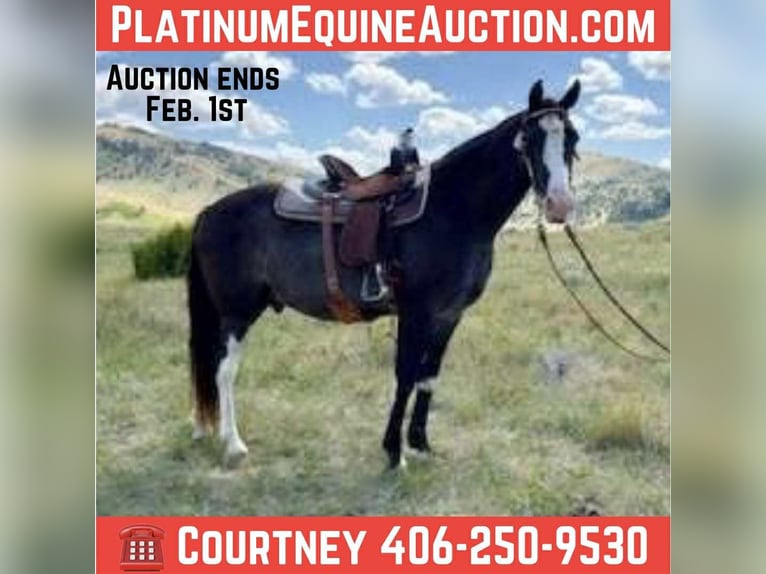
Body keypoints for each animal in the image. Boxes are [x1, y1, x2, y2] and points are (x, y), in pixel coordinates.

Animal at [187, 79, 582, 469]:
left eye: (573, 139)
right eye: (529, 139)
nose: (560, 205)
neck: (454, 210)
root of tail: (210, 211)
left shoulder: (449, 315)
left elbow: (428, 378)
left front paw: (420, 444)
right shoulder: (415, 312)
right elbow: (405, 376)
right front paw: (394, 452)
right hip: (237, 311)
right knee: (224, 369)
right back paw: (233, 443)